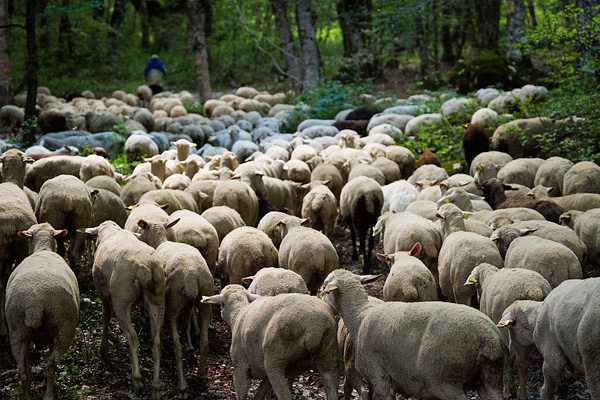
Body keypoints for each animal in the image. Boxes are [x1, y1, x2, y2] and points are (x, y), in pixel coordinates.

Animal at [5, 223, 79, 398]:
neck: (43, 248)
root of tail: (35, 302)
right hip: (64, 328)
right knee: (51, 363)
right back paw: (49, 394)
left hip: (17, 331)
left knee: (22, 370)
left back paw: (27, 396)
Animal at [83, 220, 164, 398]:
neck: (111, 231)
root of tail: (145, 268)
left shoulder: (104, 294)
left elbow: (105, 317)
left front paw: (103, 349)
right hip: (157, 300)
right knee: (156, 341)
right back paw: (155, 387)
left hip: (121, 299)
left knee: (133, 337)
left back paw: (137, 381)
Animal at [204, 286, 340, 400]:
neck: (237, 313)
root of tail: (314, 326)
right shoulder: (265, 376)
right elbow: (260, 394)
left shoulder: (240, 364)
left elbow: (242, 393)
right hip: (329, 356)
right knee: (331, 384)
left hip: (276, 358)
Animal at [318, 268, 506, 400]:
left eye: (325, 286)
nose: (318, 297)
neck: (360, 316)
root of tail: (489, 339)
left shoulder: (379, 378)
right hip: (490, 379)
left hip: (447, 381)